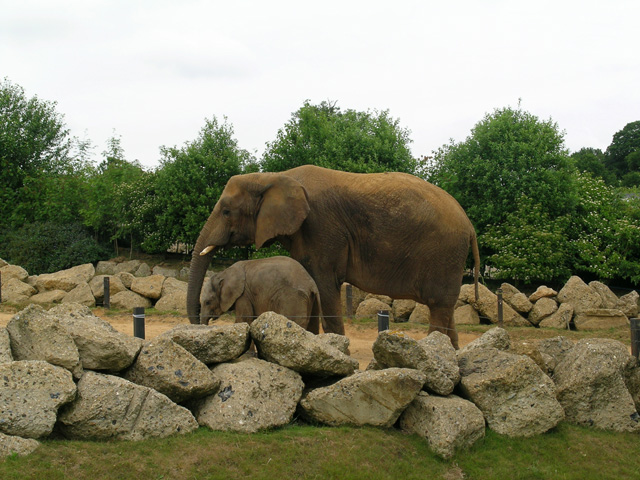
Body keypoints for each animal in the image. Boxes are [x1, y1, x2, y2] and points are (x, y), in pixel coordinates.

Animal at [188, 165, 478, 348]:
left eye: (226, 211)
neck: (275, 177)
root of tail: (470, 225)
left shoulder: (321, 228)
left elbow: (325, 285)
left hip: (444, 253)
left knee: (438, 306)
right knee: (445, 307)